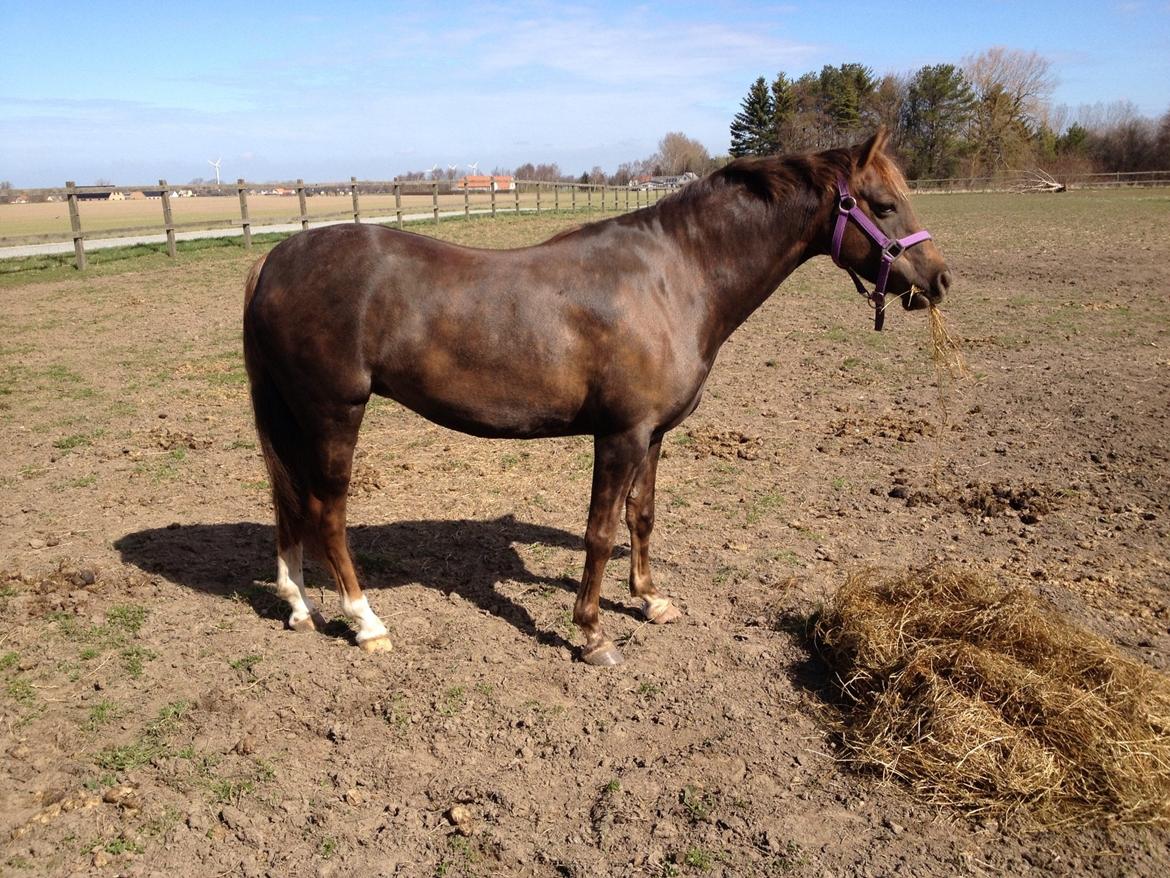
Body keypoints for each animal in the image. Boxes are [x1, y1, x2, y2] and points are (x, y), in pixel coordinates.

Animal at [242, 129, 952, 666]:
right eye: (883, 205)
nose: (940, 280)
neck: (675, 277)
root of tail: (276, 258)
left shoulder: (654, 435)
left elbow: (642, 516)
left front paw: (650, 600)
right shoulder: (621, 435)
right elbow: (601, 531)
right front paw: (590, 633)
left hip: (294, 416)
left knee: (289, 505)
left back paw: (299, 606)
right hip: (334, 413)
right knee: (326, 512)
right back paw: (366, 622)